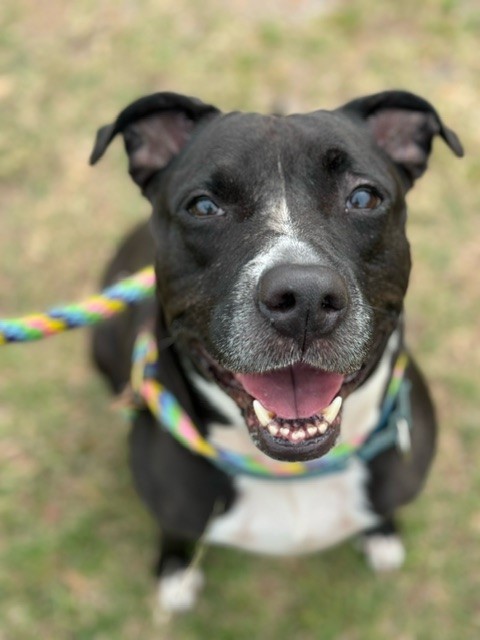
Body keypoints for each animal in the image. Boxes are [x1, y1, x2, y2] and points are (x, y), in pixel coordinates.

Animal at [88, 89, 464, 608]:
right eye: (203, 206)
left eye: (364, 197)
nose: (304, 298)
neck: (291, 475)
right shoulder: (176, 512)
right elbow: (177, 533)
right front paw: (175, 573)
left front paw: (382, 534)